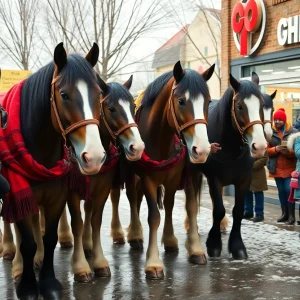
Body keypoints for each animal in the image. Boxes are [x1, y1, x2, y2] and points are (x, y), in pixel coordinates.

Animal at [0, 42, 105, 300]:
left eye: (99, 94)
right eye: (64, 95)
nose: (94, 156)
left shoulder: (56, 197)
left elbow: (49, 239)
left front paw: (48, 283)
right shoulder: (19, 193)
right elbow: (26, 242)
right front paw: (28, 286)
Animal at [185, 72, 268, 260]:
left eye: (261, 105)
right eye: (239, 106)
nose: (259, 146)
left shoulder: (244, 180)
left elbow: (237, 211)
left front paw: (237, 246)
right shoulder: (214, 179)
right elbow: (219, 210)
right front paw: (214, 244)